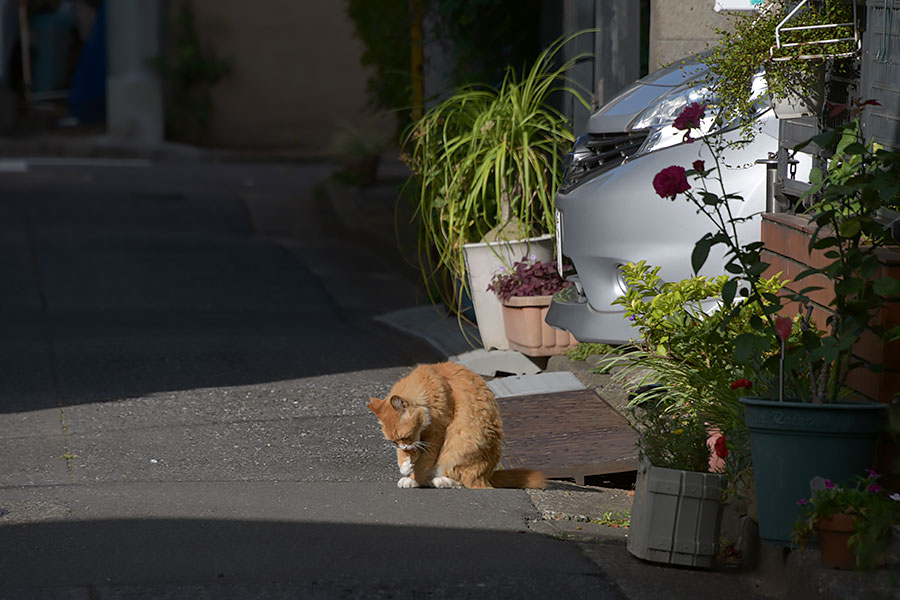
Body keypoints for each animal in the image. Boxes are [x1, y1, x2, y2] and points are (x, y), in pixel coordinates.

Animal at [364, 360, 544, 488]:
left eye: (404, 437)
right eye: (394, 442)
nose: (404, 446)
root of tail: (488, 475)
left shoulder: (436, 434)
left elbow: (423, 463)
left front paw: (415, 479)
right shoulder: (420, 439)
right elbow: (408, 456)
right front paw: (405, 466)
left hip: (458, 448)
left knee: (466, 481)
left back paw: (438, 481)